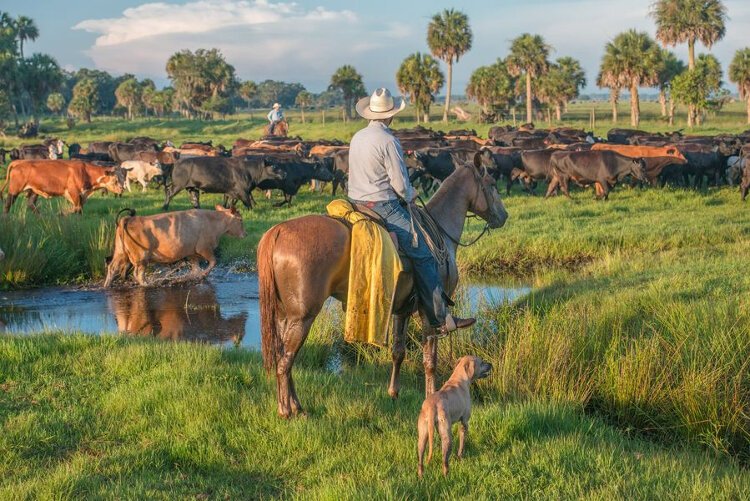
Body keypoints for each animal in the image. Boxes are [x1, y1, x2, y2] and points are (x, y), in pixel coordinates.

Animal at [104, 206, 247, 286]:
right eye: (240, 220)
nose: (244, 234)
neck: (213, 221)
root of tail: (129, 219)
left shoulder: (193, 252)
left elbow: (196, 269)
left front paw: (190, 277)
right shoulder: (204, 248)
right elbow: (213, 262)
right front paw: (202, 275)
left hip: (120, 252)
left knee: (112, 268)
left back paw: (106, 286)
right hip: (141, 257)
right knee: (138, 274)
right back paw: (148, 285)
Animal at [258, 153, 512, 418]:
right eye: (492, 184)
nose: (503, 216)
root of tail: (277, 231)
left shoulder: (401, 310)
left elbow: (398, 352)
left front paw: (393, 393)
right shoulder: (429, 312)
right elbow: (429, 361)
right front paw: (431, 397)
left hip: (285, 316)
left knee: (282, 356)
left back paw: (297, 406)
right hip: (303, 317)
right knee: (285, 362)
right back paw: (285, 410)